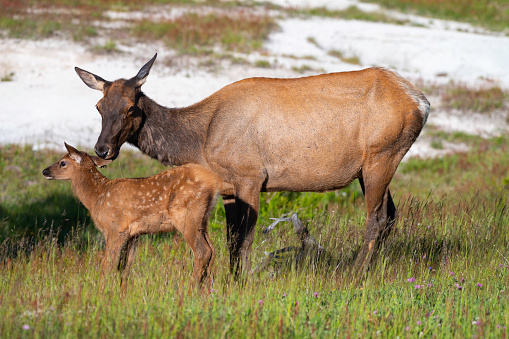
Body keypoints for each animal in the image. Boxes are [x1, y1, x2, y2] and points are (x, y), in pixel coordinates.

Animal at [41, 143, 220, 290]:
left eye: (62, 162)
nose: (44, 171)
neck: (97, 197)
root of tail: (213, 182)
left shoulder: (116, 228)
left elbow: (107, 264)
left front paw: (101, 293)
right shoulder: (133, 234)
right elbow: (124, 267)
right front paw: (122, 293)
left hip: (187, 215)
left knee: (202, 251)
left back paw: (191, 289)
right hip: (202, 219)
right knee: (212, 249)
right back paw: (207, 287)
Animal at [75, 53, 428, 276]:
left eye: (132, 107)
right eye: (99, 106)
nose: (103, 149)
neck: (200, 142)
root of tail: (421, 102)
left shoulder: (251, 176)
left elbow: (244, 240)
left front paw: (242, 282)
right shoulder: (228, 188)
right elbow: (231, 240)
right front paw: (229, 281)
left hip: (381, 155)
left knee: (377, 217)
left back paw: (355, 274)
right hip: (370, 168)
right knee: (391, 214)